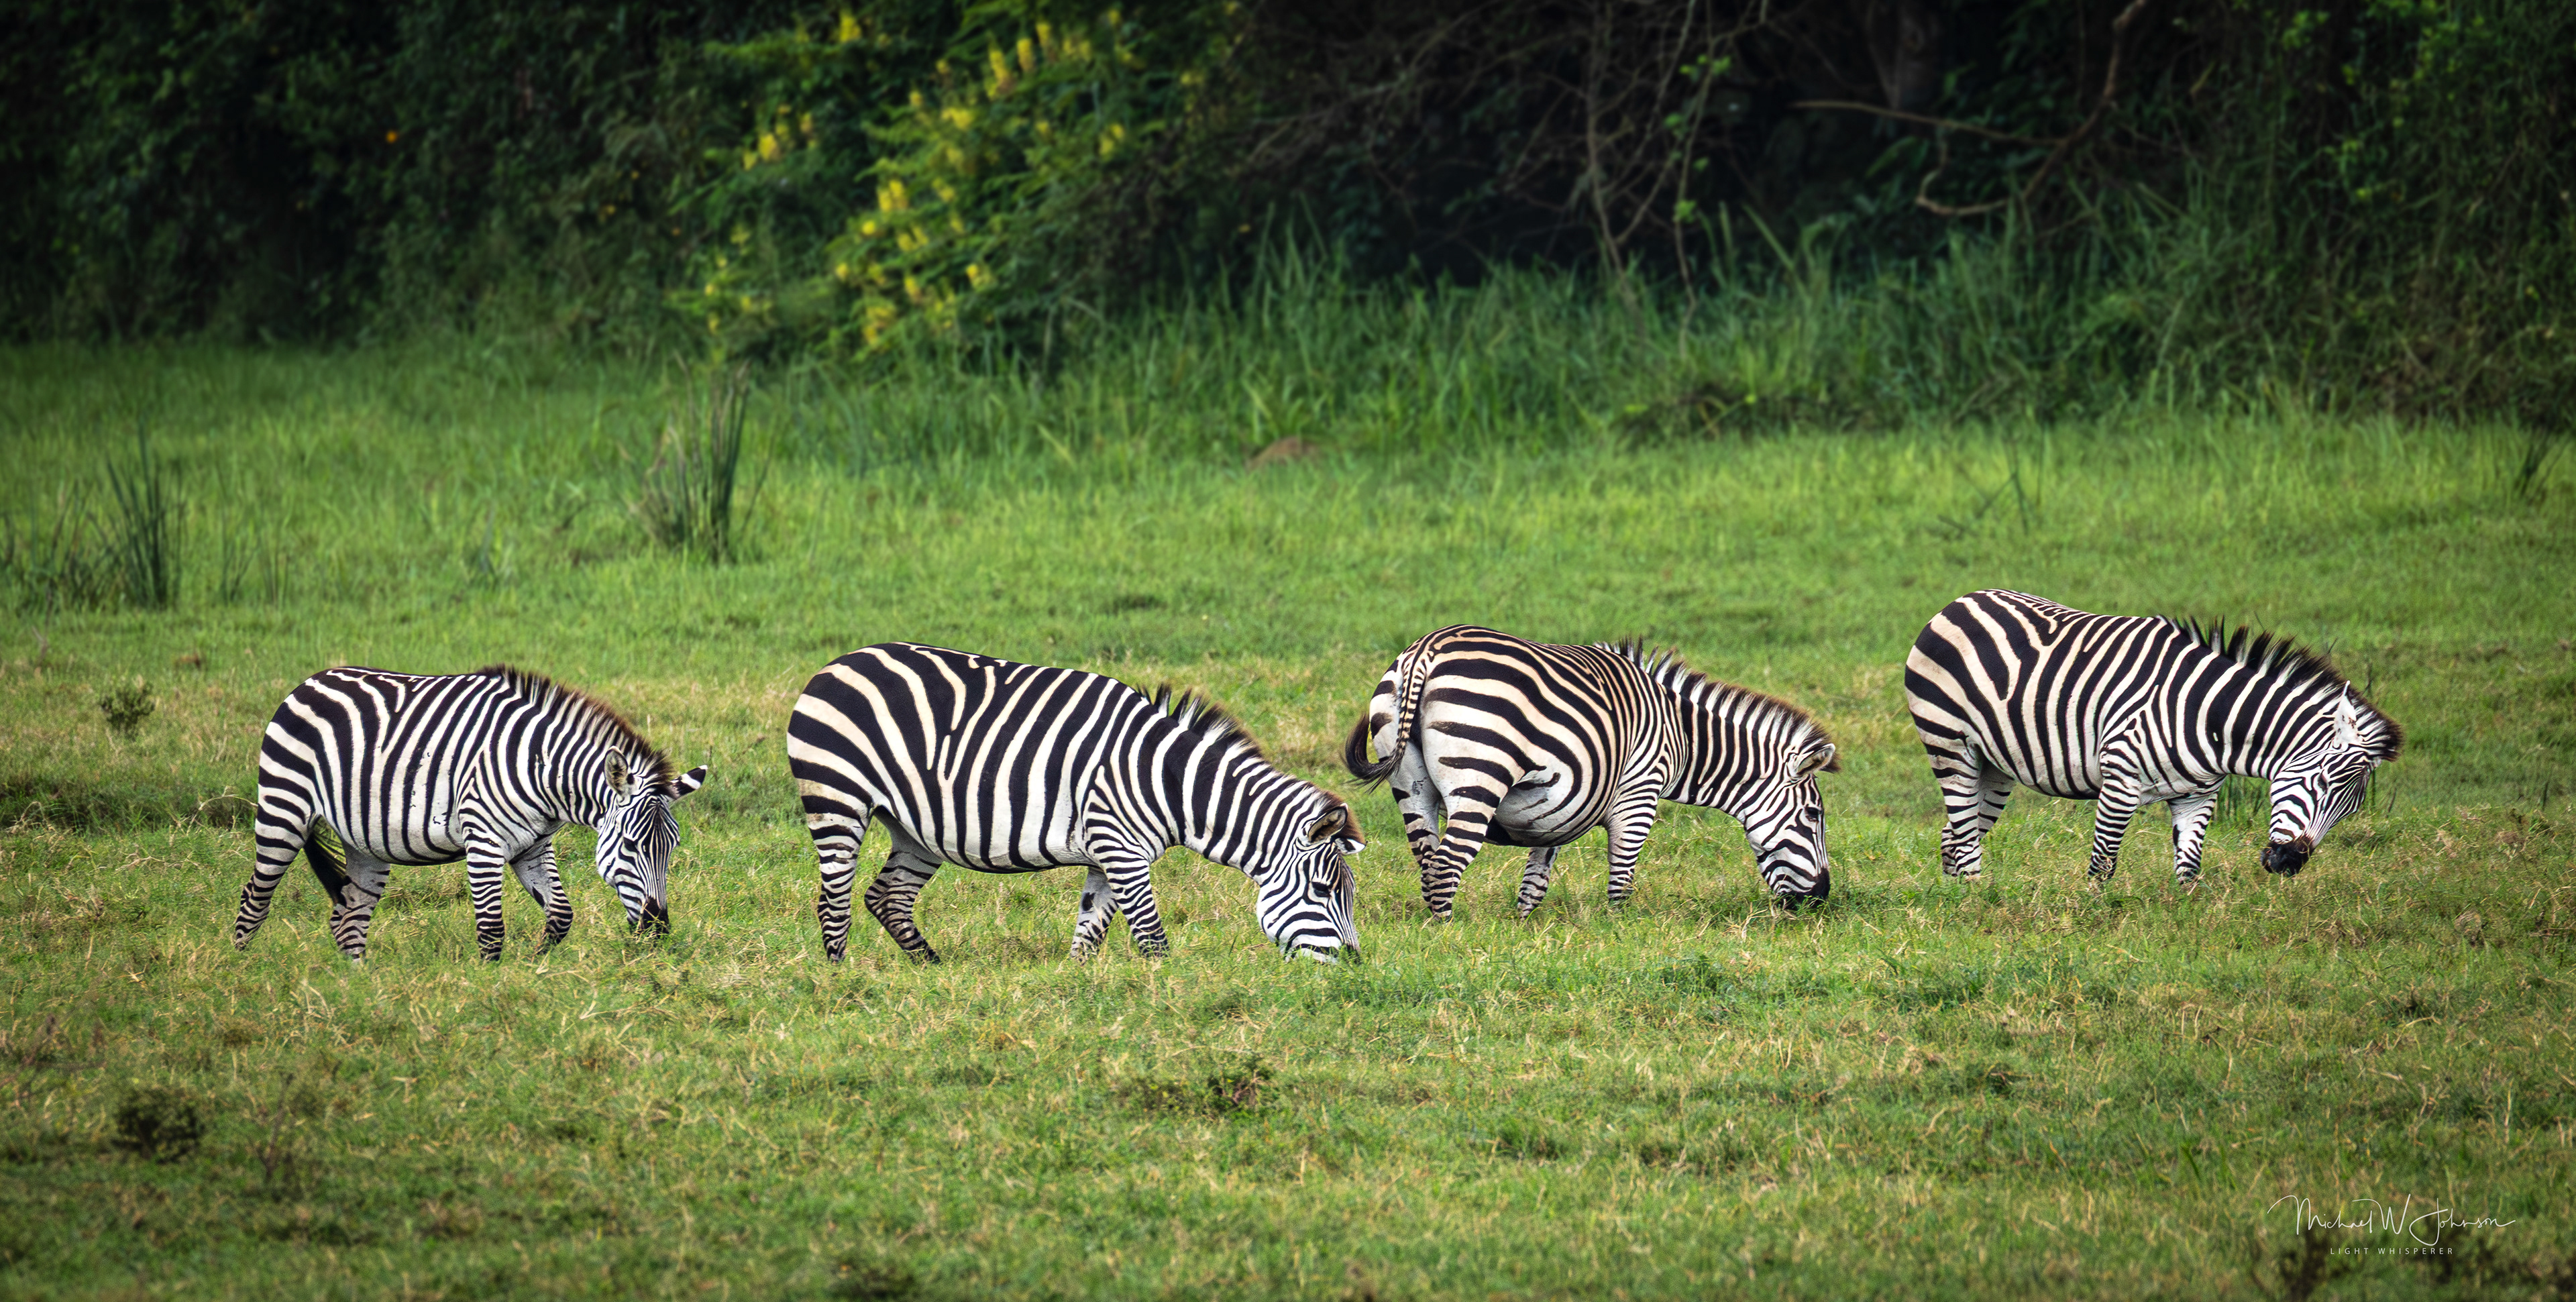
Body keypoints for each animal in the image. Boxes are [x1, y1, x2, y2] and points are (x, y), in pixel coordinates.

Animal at [232, 665, 708, 961]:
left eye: (672, 849)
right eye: (630, 846)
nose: (658, 930)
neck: (540, 769)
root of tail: (312, 681)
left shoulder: (534, 846)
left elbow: (560, 916)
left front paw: (535, 962)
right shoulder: (483, 841)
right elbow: (491, 928)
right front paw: (491, 987)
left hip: (364, 842)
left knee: (348, 917)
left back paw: (358, 991)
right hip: (283, 810)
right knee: (255, 897)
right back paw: (242, 973)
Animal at [787, 643, 1365, 965]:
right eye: (1323, 890)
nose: (1356, 966)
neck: (1171, 782)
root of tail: (837, 664)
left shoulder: (1107, 857)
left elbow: (1090, 932)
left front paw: (1078, 996)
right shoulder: (1123, 852)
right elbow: (1152, 937)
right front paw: (1167, 997)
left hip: (916, 828)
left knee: (887, 897)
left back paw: (933, 969)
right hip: (838, 799)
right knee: (834, 902)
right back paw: (840, 982)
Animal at [1341, 625, 1840, 917]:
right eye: (1814, 816)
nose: (1821, 897)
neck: (1682, 737)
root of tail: (1426, 650)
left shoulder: (1557, 811)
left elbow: (1534, 882)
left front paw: (1523, 931)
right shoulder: (1639, 796)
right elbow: (1622, 879)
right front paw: (1619, 936)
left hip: (1410, 784)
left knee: (1428, 863)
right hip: (1479, 776)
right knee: (1446, 868)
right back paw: (1449, 940)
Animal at [1903, 589, 2404, 886]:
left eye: (2351, 809)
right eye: (2321, 782)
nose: (2289, 864)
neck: (2211, 718)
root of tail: (1961, 600)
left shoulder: (2198, 795)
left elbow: (2189, 868)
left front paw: (2188, 924)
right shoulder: (2121, 780)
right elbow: (2103, 861)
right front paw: (2090, 920)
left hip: (1994, 765)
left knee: (1956, 834)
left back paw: (1961, 900)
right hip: (1951, 745)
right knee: (1965, 836)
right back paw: (1976, 902)